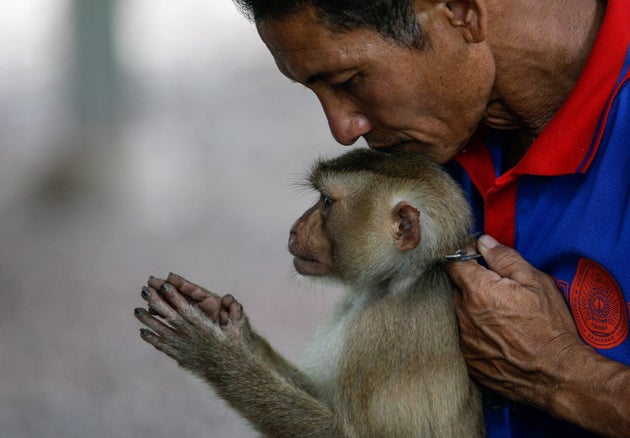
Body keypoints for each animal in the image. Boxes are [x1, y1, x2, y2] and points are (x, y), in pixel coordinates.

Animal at [136, 149, 486, 436]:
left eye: (327, 203)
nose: (294, 229)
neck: (398, 279)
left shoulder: (385, 336)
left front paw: (212, 352)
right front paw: (222, 318)